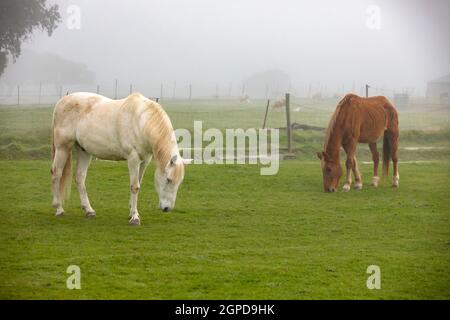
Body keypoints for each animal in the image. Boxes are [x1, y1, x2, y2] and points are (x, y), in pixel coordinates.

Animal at [51, 91, 190, 224]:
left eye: (179, 182)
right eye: (168, 179)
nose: (167, 208)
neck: (141, 122)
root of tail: (62, 101)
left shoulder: (144, 161)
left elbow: (138, 183)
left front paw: (132, 211)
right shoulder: (133, 159)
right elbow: (135, 187)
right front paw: (134, 217)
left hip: (83, 151)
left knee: (80, 177)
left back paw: (89, 210)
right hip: (63, 147)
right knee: (56, 173)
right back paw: (59, 208)